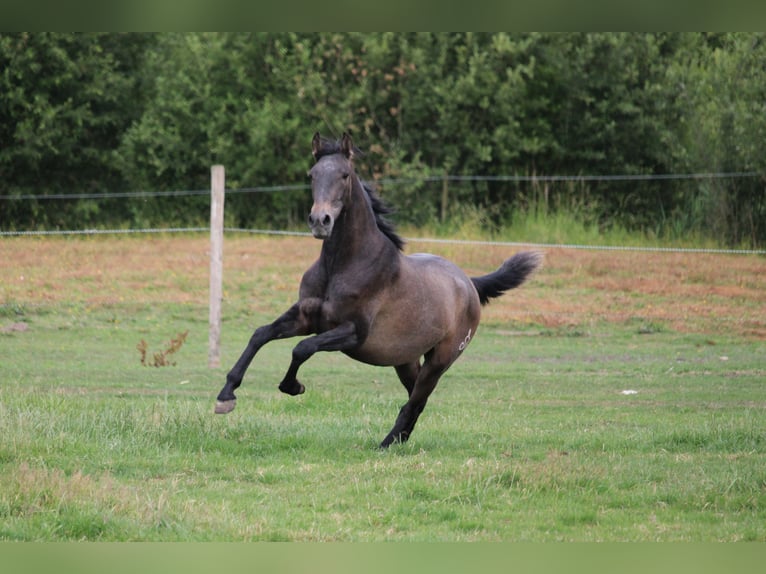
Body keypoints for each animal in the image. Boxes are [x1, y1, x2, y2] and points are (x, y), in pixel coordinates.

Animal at [215, 132, 542, 448]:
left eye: (345, 175)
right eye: (312, 174)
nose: (320, 221)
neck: (342, 266)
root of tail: (469, 283)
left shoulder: (353, 332)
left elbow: (303, 347)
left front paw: (293, 386)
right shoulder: (306, 317)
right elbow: (261, 334)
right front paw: (226, 396)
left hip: (440, 360)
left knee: (416, 400)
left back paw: (386, 444)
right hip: (406, 360)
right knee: (417, 398)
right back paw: (399, 440)